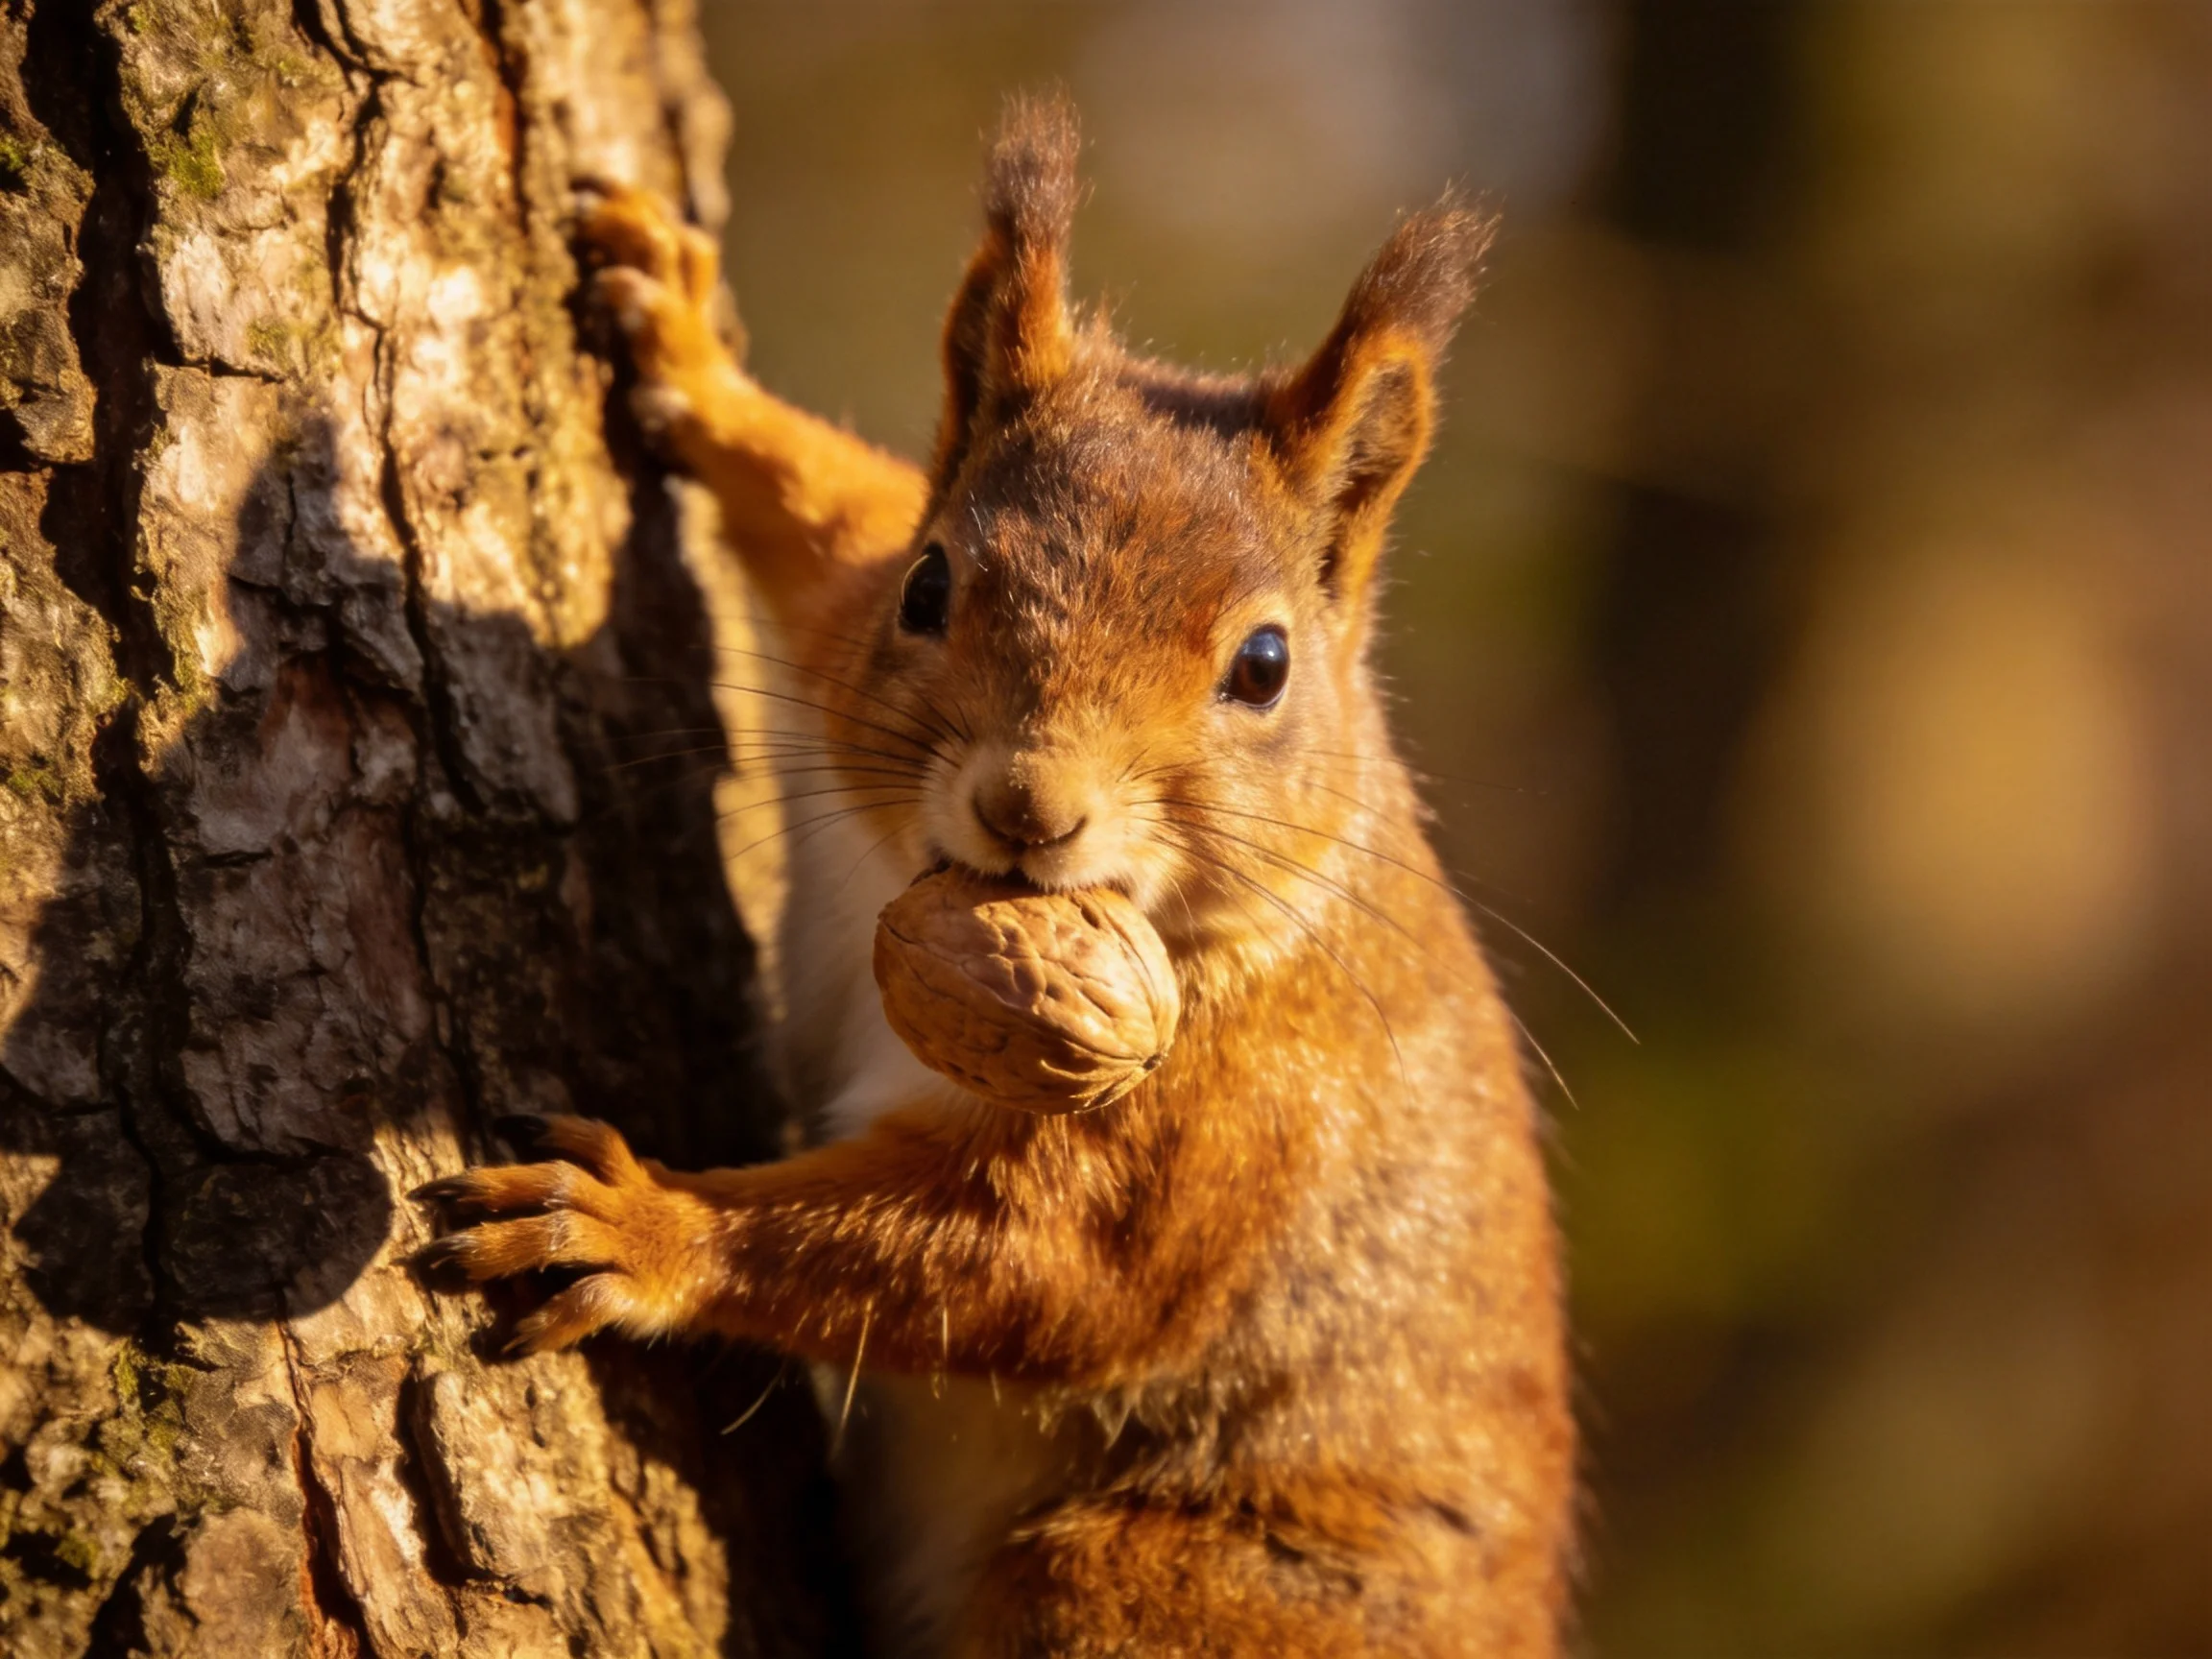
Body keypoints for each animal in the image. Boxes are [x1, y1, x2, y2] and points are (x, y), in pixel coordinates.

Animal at [417, 96, 1575, 1657]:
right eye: (930, 586)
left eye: (1265, 665)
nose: (1029, 806)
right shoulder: (842, 601)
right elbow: (821, 497)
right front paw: (685, 344)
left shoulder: (1234, 1122)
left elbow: (1037, 1274)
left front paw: (640, 1227)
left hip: (1157, 1590)